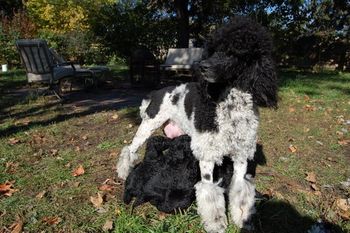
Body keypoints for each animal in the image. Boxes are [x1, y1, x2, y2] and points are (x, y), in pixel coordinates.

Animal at [116, 16, 278, 233]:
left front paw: (243, 219)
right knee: (130, 149)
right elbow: (209, 193)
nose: (202, 66)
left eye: (234, 51)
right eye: (212, 49)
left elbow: (241, 192)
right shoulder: (208, 156)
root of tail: (157, 92)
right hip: (147, 126)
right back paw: (123, 172)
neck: (229, 105)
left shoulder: (241, 156)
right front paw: (216, 224)